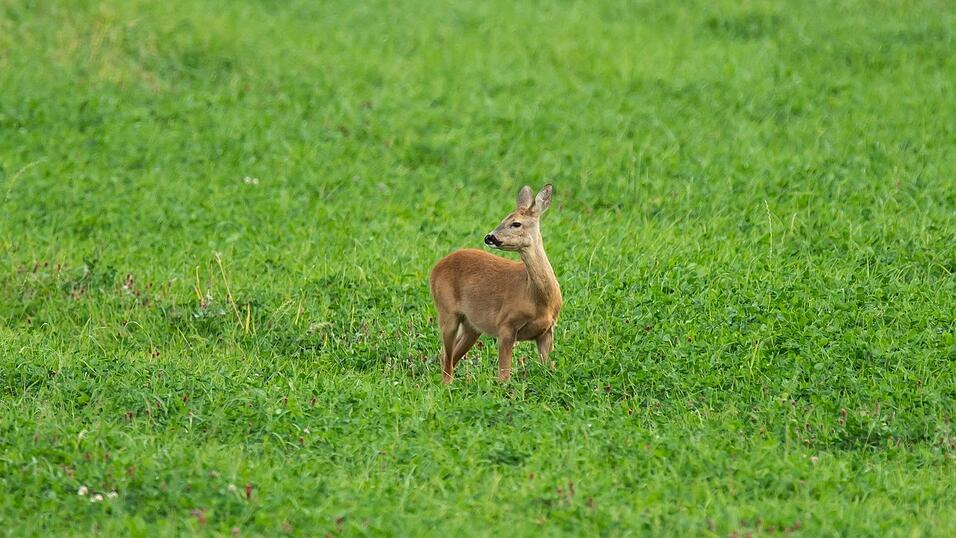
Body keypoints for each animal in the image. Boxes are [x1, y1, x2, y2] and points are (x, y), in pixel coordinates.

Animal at [429, 184, 562, 383]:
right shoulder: (505, 325)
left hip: (471, 326)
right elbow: (503, 376)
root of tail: (435, 268)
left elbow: (549, 368)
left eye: (516, 223)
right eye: (503, 218)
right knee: (446, 357)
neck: (538, 299)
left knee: (448, 356)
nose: (489, 237)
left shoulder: (547, 331)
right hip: (447, 311)